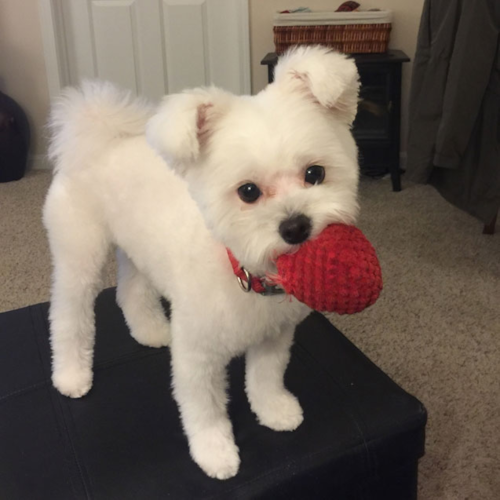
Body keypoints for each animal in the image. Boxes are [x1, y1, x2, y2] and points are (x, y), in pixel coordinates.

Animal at [44, 47, 360, 480]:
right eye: (248, 192)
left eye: (315, 173)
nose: (295, 226)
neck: (244, 270)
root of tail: (100, 136)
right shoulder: (197, 355)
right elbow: (204, 408)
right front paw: (214, 452)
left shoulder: (274, 335)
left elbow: (266, 378)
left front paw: (273, 410)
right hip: (81, 255)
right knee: (68, 315)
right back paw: (71, 374)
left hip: (138, 247)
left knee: (131, 291)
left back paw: (149, 330)